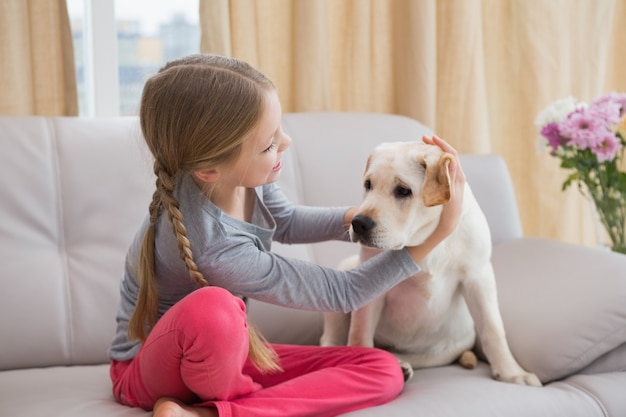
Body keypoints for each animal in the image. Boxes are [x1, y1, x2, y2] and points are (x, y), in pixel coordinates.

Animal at [320, 141, 540, 386]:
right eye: (368, 185)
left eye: (403, 190)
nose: (358, 223)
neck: (424, 238)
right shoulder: (368, 284)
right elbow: (359, 333)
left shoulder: (479, 275)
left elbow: (493, 328)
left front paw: (512, 372)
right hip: (345, 271)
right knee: (329, 338)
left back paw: (401, 364)